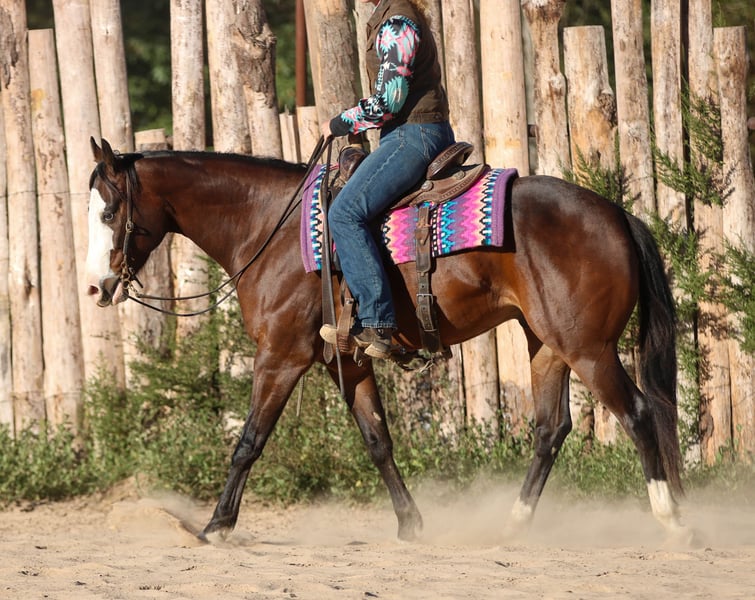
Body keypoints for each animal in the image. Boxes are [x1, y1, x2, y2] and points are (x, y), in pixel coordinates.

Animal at [86, 137, 690, 543]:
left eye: (109, 210)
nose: (97, 286)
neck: (270, 228)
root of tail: (617, 216)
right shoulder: (346, 361)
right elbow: (377, 440)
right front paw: (410, 523)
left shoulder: (280, 356)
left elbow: (249, 441)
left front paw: (216, 525)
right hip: (547, 344)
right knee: (550, 430)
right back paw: (513, 526)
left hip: (589, 348)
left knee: (638, 414)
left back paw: (672, 521)